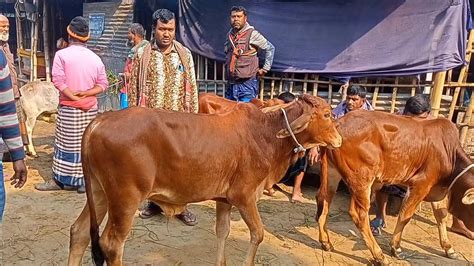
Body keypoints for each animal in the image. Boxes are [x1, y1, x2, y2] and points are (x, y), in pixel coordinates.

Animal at [66, 94, 340, 264]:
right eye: (327, 114)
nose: (338, 140)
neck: (266, 133)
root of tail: (100, 121)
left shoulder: (225, 200)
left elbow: (222, 232)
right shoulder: (244, 196)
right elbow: (258, 234)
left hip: (99, 192)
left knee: (79, 233)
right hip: (124, 199)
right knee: (112, 245)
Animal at [314, 110, 474, 264]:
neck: (449, 152)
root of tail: (338, 122)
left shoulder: (438, 188)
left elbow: (441, 215)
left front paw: (449, 248)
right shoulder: (420, 184)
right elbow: (405, 216)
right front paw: (396, 247)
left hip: (332, 173)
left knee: (324, 200)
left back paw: (326, 242)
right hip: (362, 180)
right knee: (359, 214)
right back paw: (379, 256)